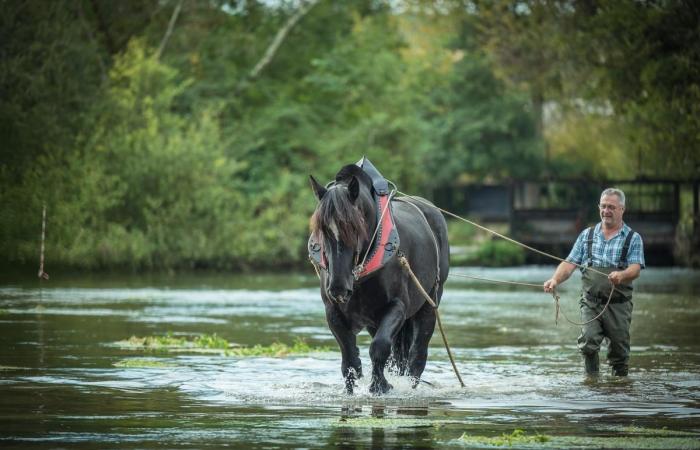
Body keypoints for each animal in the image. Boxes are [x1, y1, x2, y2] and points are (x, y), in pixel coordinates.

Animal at [310, 159, 452, 394]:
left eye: (354, 228)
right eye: (322, 230)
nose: (338, 287)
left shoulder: (397, 306)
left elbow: (380, 347)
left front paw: (380, 386)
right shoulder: (333, 311)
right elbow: (349, 356)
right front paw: (352, 386)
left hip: (428, 302)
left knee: (417, 354)